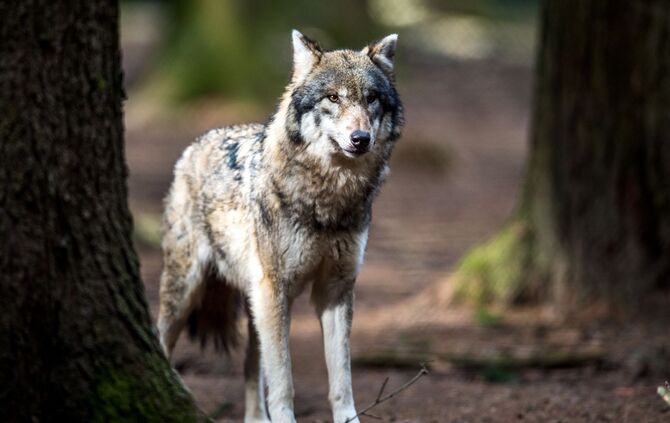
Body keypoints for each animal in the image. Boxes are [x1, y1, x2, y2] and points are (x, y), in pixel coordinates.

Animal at [157, 30, 403, 423]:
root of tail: (196, 144)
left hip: (255, 301)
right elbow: (283, 378)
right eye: (333, 97)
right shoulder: (277, 290)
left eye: (371, 99)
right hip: (189, 290)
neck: (328, 199)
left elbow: (342, 378)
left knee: (249, 367)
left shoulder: (336, 289)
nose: (360, 139)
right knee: (161, 341)